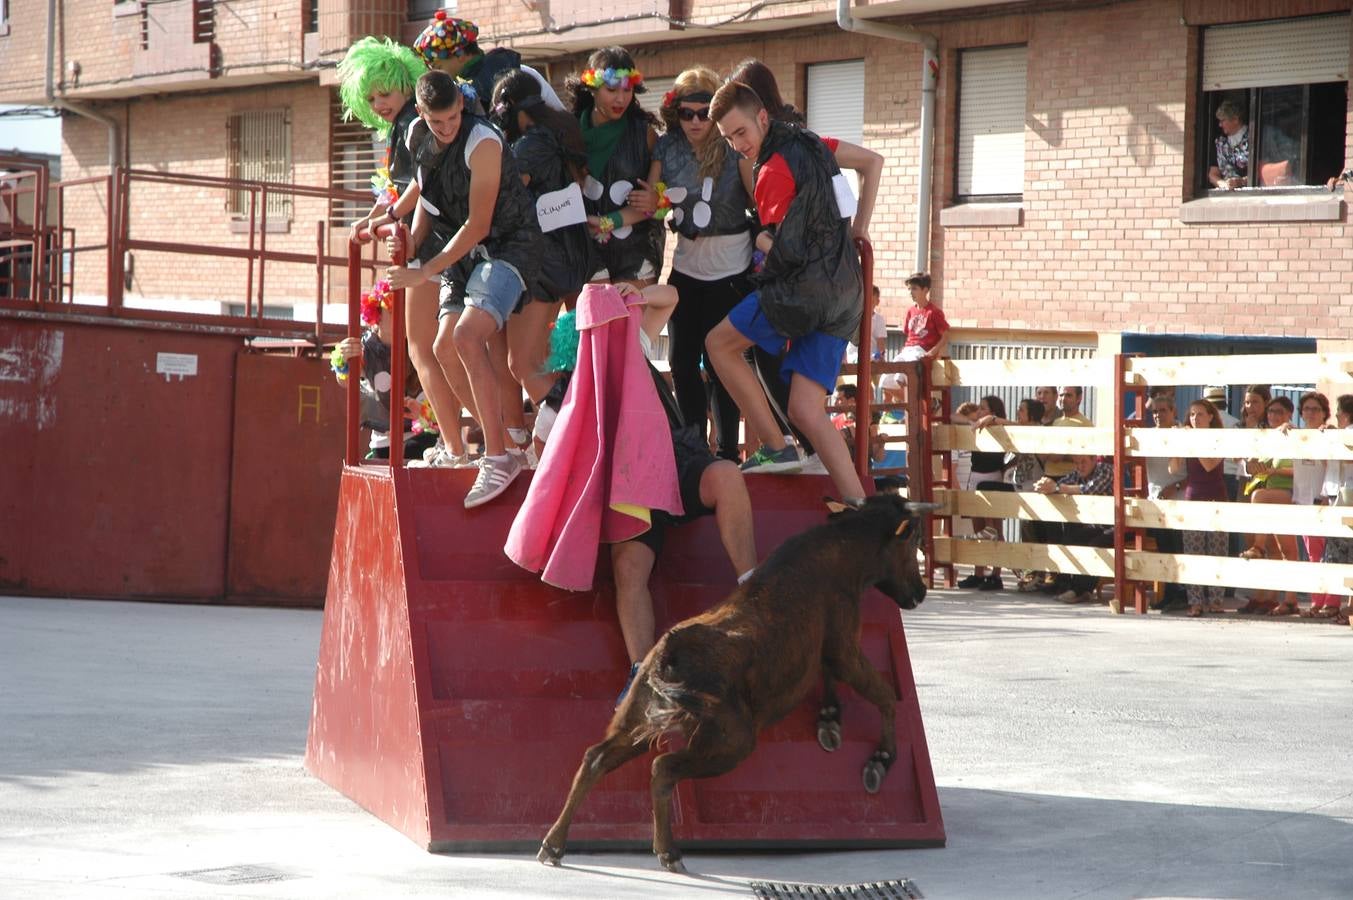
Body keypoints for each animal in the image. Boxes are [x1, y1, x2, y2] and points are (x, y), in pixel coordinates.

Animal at [535, 492, 930, 871]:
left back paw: (554, 844)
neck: (843, 552)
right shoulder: (845, 647)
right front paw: (880, 759)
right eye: (912, 541)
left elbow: (832, 678)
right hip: (731, 742)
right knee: (663, 768)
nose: (921, 592)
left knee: (596, 758)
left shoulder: (825, 651)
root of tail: (668, 652)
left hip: (638, 720)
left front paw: (830, 720)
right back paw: (669, 852)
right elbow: (883, 695)